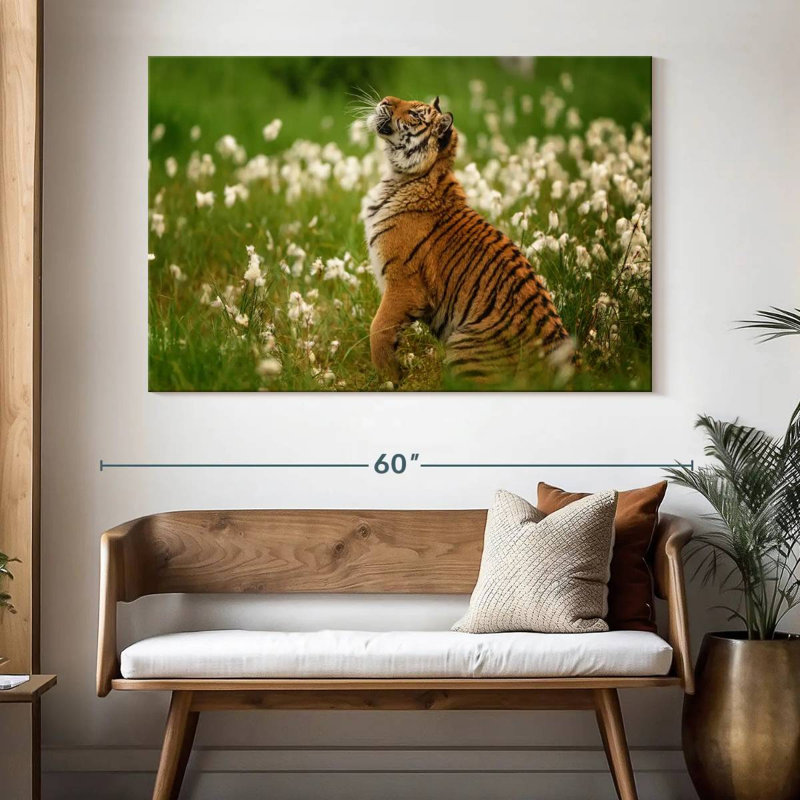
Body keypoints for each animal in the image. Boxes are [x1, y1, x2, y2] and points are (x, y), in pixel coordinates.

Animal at [363, 95, 575, 387]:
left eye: (415, 114)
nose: (385, 100)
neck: (403, 176)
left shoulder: (404, 285)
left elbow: (378, 329)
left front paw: (388, 379)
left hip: (463, 345)